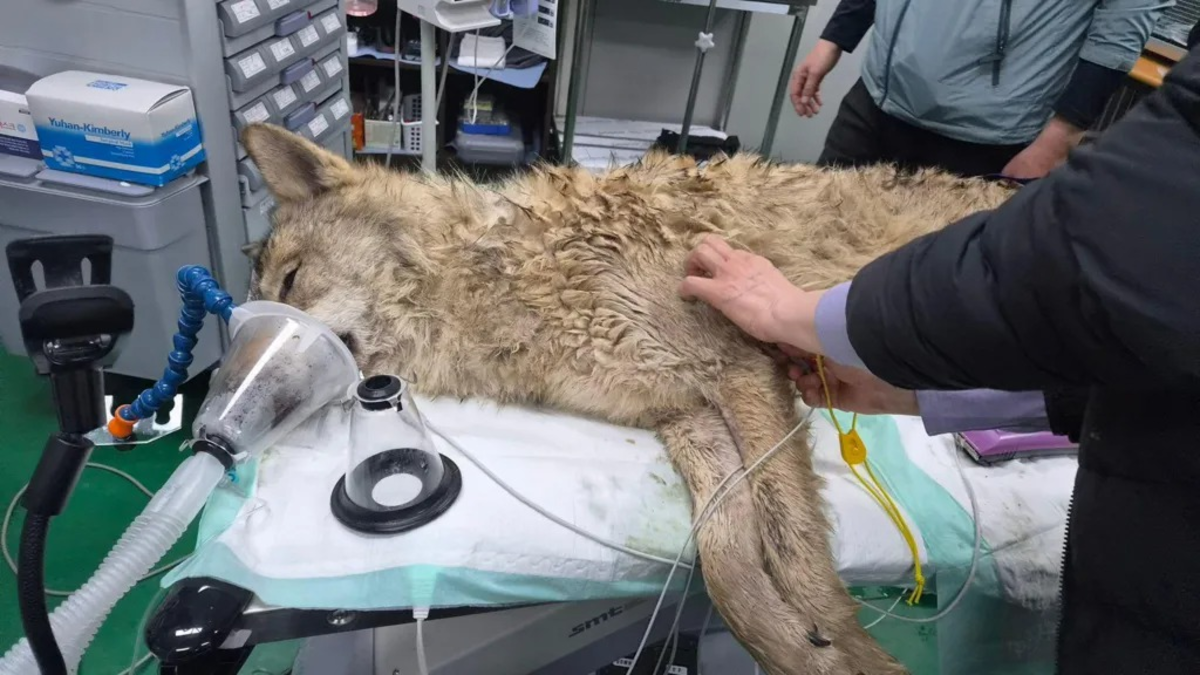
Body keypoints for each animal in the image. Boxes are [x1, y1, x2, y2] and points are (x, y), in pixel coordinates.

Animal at [240, 123, 1014, 674]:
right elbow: (729, 563)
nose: (232, 412)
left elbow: (792, 547)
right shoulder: (686, 415)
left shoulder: (740, 368)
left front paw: (850, 650)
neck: (501, 276)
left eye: (291, 281)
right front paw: (801, 648)